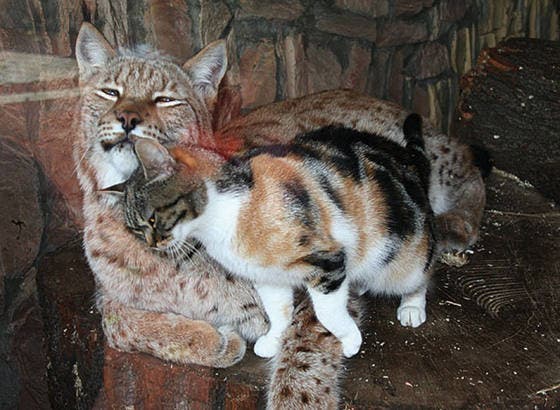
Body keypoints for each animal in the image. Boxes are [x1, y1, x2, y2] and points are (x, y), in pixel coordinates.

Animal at [120, 113, 436, 358]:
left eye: (152, 219)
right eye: (136, 229)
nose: (152, 244)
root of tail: (408, 158)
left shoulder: (327, 262)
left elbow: (327, 312)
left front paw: (349, 340)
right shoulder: (266, 275)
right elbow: (278, 310)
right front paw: (274, 340)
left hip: (402, 259)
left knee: (422, 273)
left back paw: (411, 307)